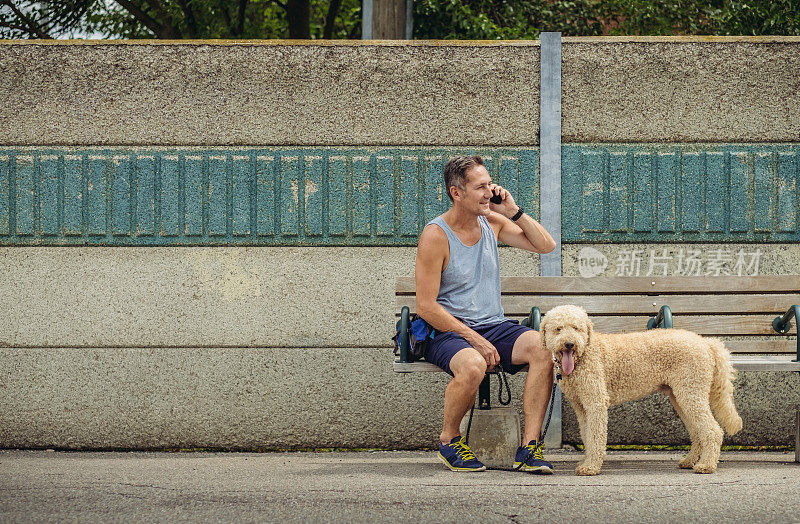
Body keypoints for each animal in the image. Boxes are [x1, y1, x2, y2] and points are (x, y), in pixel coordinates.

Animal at [540, 304, 740, 476]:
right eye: (558, 329)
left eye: (576, 328)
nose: (569, 344)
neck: (585, 353)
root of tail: (706, 342)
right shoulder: (582, 407)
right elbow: (587, 435)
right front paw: (586, 462)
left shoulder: (596, 403)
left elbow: (596, 436)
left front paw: (591, 467)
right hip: (682, 397)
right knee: (698, 431)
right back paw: (690, 461)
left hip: (691, 393)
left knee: (713, 431)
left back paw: (706, 465)